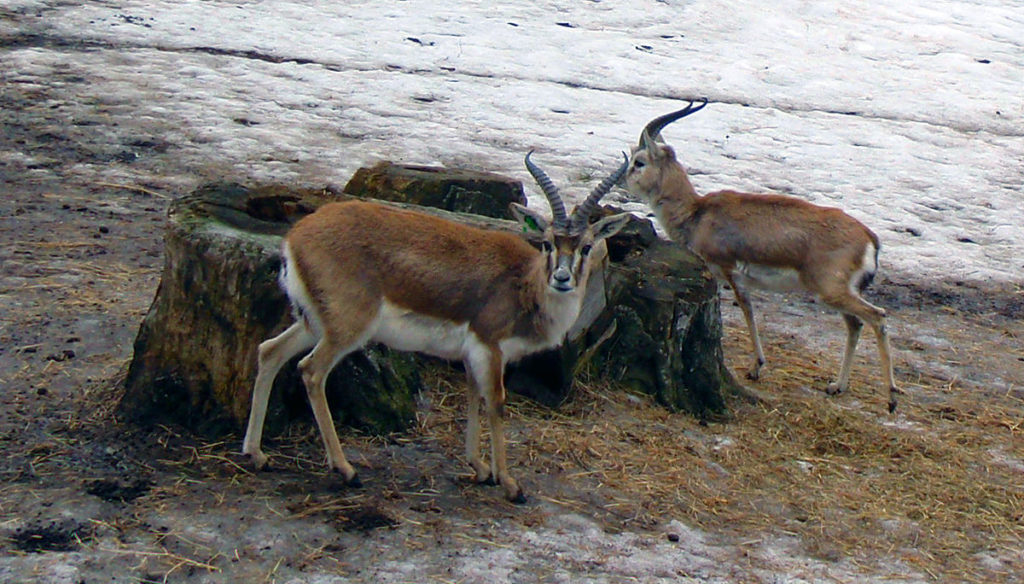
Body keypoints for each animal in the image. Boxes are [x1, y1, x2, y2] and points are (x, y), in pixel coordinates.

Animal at [243, 151, 630, 499]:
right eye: (548, 243)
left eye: (586, 247)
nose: (562, 279)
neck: (525, 284)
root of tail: (296, 236)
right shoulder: (489, 346)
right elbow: (496, 403)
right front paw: (510, 484)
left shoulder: (473, 352)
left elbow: (474, 396)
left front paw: (480, 468)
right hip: (346, 328)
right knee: (310, 371)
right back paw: (346, 470)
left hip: (314, 323)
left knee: (269, 351)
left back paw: (257, 455)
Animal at [626, 99, 901, 411]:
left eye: (639, 162)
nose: (622, 179)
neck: (697, 214)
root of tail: (869, 236)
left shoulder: (728, 271)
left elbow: (746, 309)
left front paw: (756, 367)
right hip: (838, 293)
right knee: (855, 325)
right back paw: (837, 386)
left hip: (832, 291)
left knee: (877, 317)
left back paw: (891, 398)